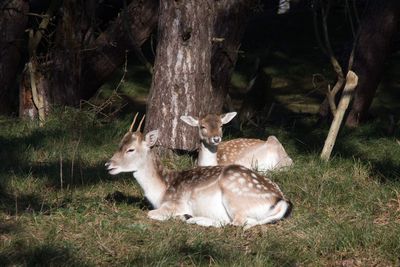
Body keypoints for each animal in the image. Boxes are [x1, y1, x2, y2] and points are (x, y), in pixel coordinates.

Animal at [104, 114, 290, 229]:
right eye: (119, 145)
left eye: (131, 149)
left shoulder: (175, 203)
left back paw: (191, 218)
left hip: (235, 196)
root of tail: (281, 200)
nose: (108, 164)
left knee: (238, 223)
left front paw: (180, 215)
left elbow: (150, 213)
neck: (160, 191)